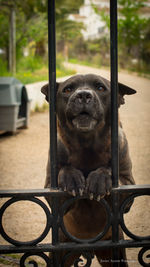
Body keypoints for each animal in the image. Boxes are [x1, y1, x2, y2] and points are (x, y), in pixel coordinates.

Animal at [41, 74, 136, 266]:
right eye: (68, 89)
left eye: (100, 88)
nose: (83, 95)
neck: (86, 146)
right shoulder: (51, 191)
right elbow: (65, 170)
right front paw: (71, 178)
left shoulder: (128, 185)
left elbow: (109, 171)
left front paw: (99, 178)